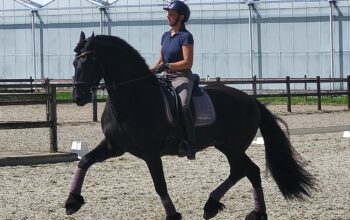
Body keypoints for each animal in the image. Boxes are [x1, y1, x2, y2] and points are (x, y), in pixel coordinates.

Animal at [65, 31, 314, 219]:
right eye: (75, 62)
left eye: (89, 61)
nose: (78, 97)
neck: (133, 98)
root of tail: (250, 100)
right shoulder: (114, 146)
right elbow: (85, 161)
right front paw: (72, 201)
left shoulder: (150, 153)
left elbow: (160, 185)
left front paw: (173, 215)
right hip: (225, 146)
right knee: (240, 171)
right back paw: (213, 206)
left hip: (233, 146)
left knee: (249, 170)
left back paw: (254, 213)